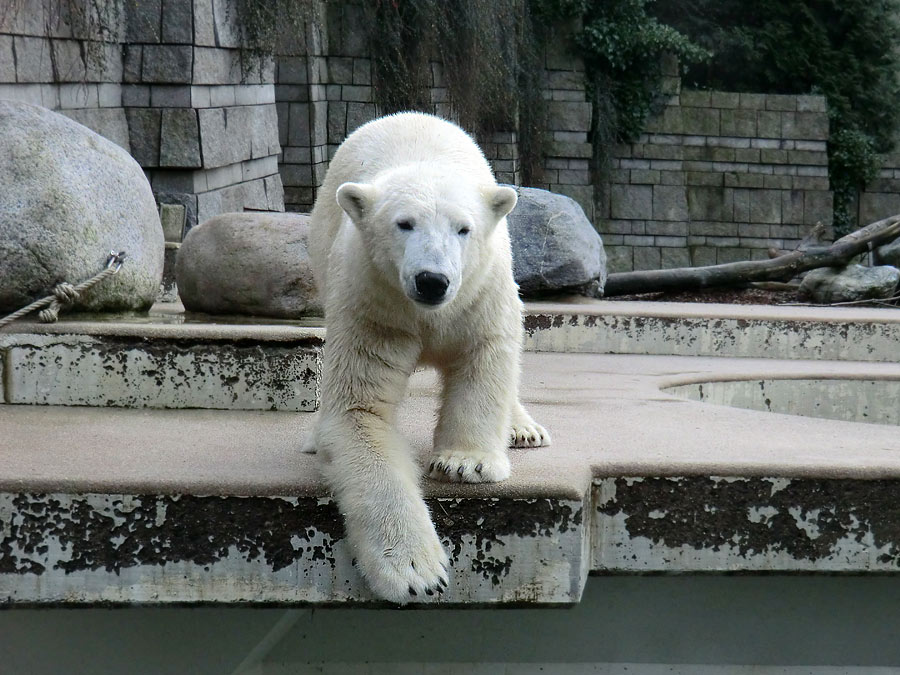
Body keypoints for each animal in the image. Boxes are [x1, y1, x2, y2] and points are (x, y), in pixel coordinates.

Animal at [306, 111, 552, 604]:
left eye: (463, 228)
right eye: (404, 224)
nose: (432, 280)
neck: (424, 315)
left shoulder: (480, 293)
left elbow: (484, 361)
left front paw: (466, 462)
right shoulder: (374, 306)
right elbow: (359, 412)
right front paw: (415, 572)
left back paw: (523, 428)